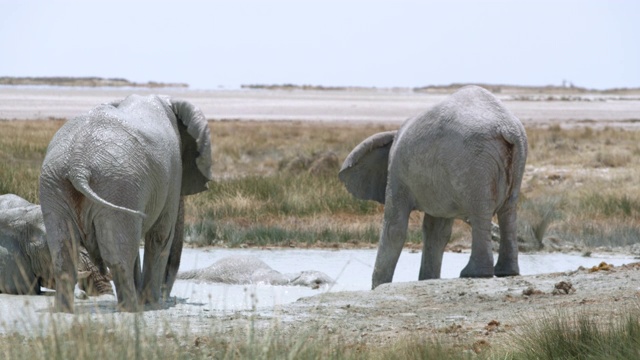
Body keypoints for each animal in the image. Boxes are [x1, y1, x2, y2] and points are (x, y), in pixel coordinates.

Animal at [40, 95, 215, 312]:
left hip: (55, 185)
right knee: (119, 257)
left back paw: (63, 311)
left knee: (64, 256)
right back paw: (132, 308)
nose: (168, 297)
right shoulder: (173, 174)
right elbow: (160, 235)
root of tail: (78, 164)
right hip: (118, 183)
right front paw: (151, 304)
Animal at [338, 86, 528, 288]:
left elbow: (394, 228)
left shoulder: (397, 174)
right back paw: (506, 272)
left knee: (480, 211)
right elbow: (437, 232)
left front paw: (380, 286)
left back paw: (474, 273)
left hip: (475, 162)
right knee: (508, 210)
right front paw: (428, 279)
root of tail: (507, 127)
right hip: (515, 156)